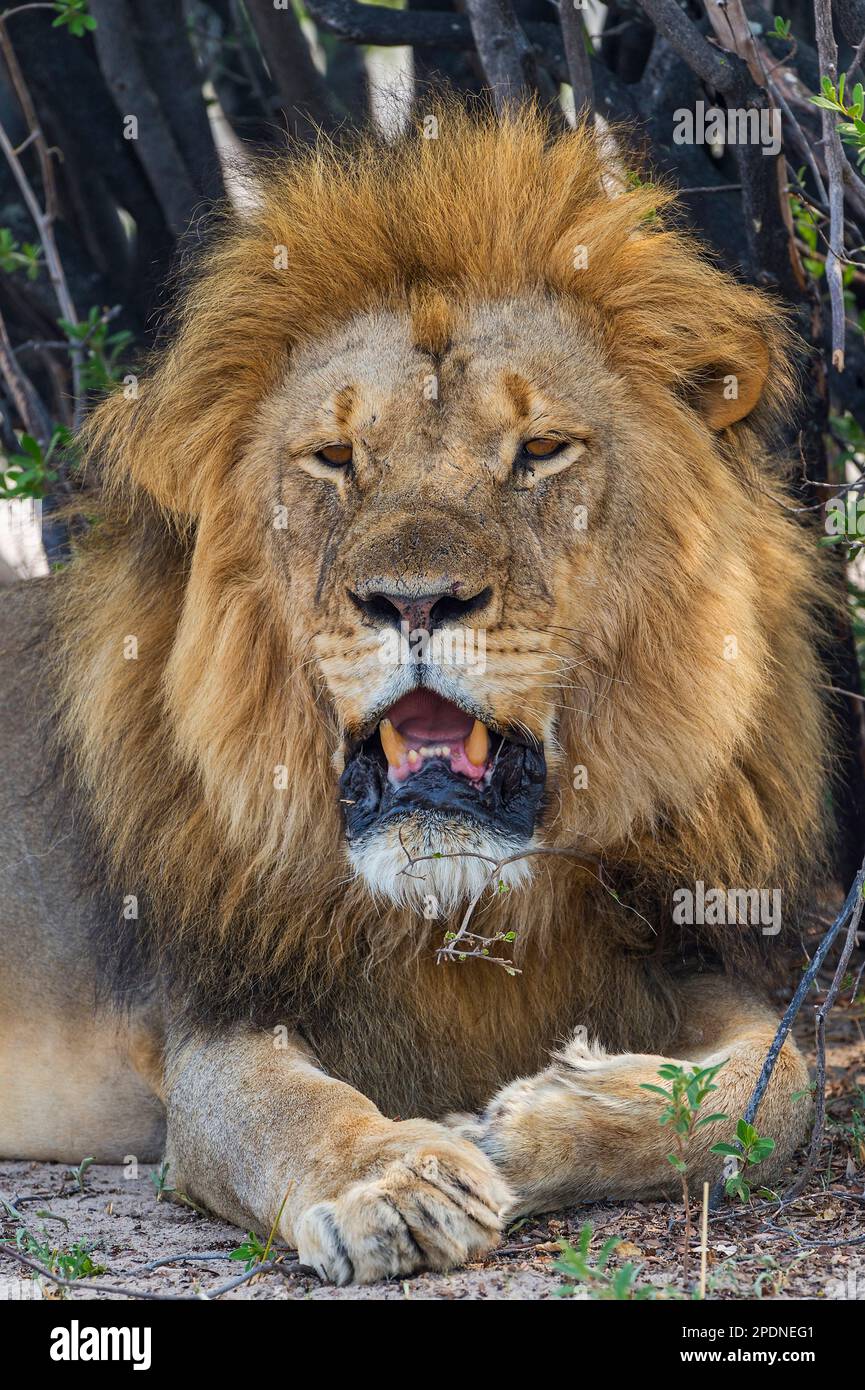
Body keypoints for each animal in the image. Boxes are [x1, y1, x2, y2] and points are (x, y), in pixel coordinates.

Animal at [0, 102, 828, 1284]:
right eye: (335, 458)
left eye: (539, 449)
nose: (414, 599)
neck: (460, 907)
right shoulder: (212, 1017)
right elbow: (286, 1109)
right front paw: (394, 1183)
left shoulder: (669, 948)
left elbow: (778, 1083)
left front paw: (517, 1122)